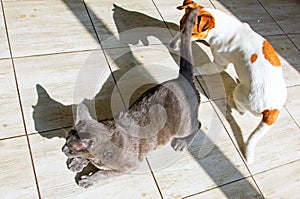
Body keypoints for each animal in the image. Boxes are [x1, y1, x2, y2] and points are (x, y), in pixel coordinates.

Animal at [61, 7, 200, 188]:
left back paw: (182, 143)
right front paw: (78, 163)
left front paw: (88, 179)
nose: (62, 149)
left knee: (198, 125)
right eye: (65, 141)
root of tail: (182, 78)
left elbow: (103, 174)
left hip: (183, 125)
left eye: (70, 146)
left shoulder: (129, 167)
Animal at [171, 0, 286, 164]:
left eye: (192, 33)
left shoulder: (219, 64)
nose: (171, 45)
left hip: (240, 93)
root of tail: (273, 110)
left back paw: (231, 101)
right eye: (180, 24)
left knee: (240, 109)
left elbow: (204, 68)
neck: (224, 28)